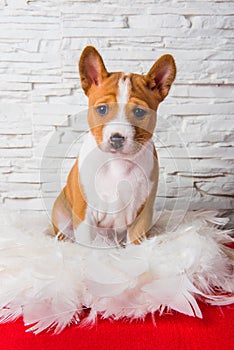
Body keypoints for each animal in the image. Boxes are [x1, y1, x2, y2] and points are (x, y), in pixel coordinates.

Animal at [51, 45, 176, 245]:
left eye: (139, 112)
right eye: (102, 109)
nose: (117, 138)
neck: (118, 163)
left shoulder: (142, 216)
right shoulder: (85, 215)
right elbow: (87, 245)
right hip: (61, 215)